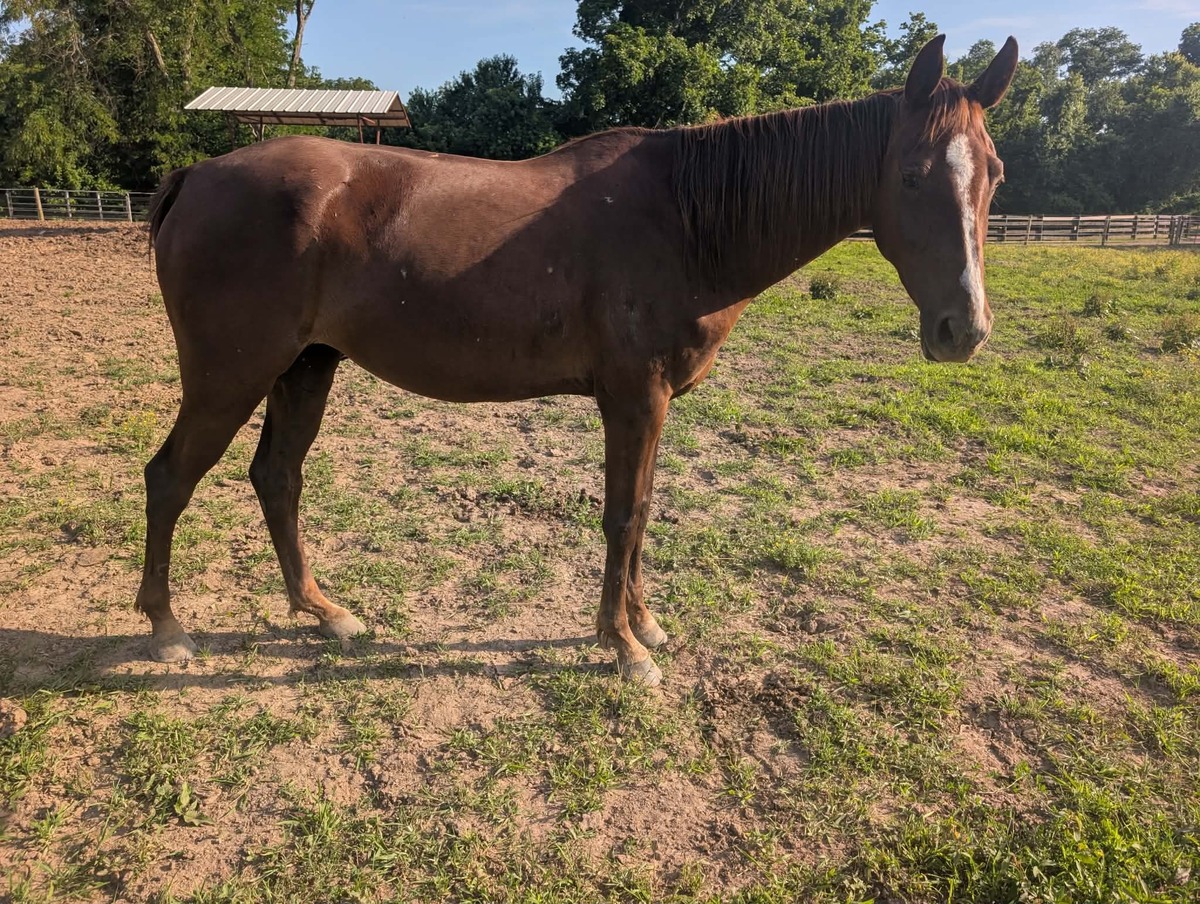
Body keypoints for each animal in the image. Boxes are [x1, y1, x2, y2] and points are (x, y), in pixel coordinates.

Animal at [138, 36, 1018, 685]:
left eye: (996, 174)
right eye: (912, 175)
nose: (963, 331)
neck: (683, 220)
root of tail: (197, 176)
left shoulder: (653, 405)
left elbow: (645, 511)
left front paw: (645, 625)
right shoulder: (633, 399)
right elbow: (622, 515)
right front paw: (622, 649)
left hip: (306, 367)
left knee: (277, 478)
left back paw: (323, 612)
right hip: (230, 377)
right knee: (171, 478)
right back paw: (168, 629)